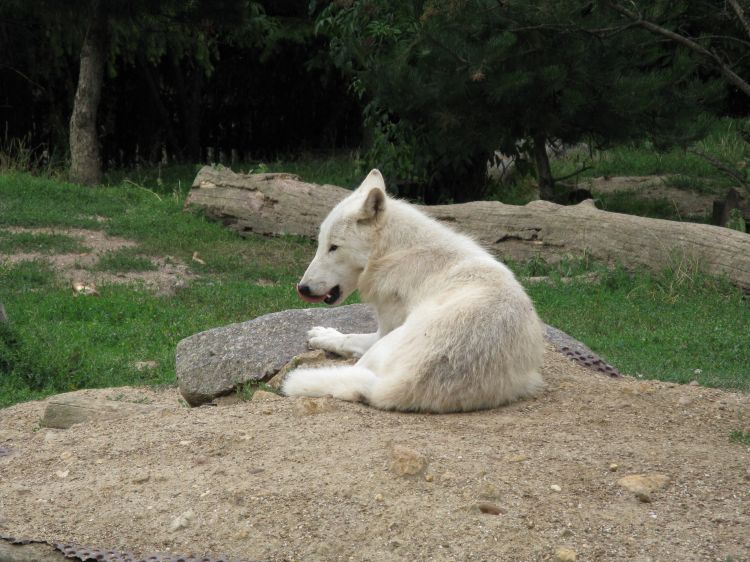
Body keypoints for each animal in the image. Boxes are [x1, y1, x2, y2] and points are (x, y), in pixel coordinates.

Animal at [284, 167, 548, 412]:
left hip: (383, 345)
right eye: (321, 244)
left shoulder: (381, 331)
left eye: (334, 247)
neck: (392, 252)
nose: (302, 288)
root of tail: (402, 383)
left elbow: (348, 338)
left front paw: (324, 335)